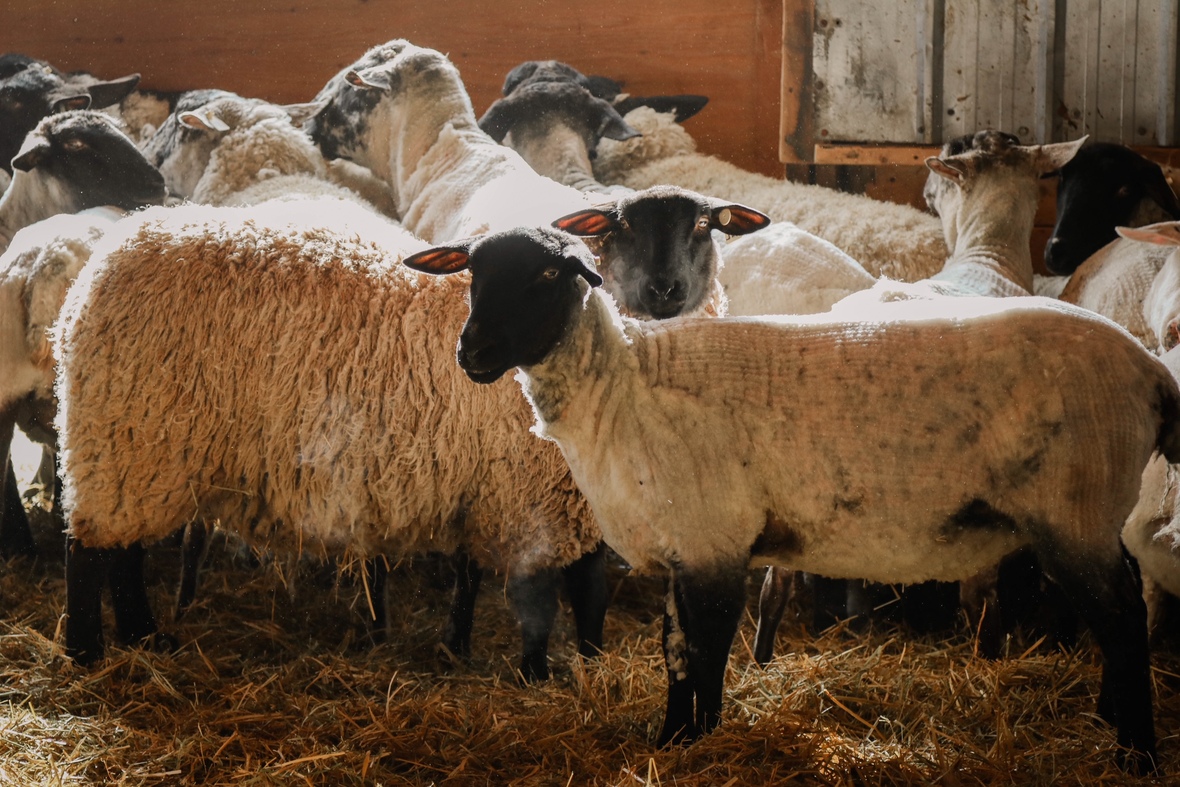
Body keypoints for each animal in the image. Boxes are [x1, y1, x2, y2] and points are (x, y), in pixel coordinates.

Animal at [55, 203, 604, 684]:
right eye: (474, 274)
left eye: (551, 275)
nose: (473, 353)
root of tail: (100, 267)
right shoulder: (533, 499)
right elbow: (556, 596)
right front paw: (540, 675)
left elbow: (555, 586)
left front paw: (584, 663)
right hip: (128, 437)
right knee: (90, 555)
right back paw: (87, 653)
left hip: (139, 455)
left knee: (123, 553)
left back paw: (144, 639)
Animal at [406, 225, 1175, 773]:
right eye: (473, 273)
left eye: (547, 275)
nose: (472, 354)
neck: (622, 389)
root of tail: (1150, 371)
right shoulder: (687, 543)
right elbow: (676, 649)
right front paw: (680, 739)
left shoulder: (714, 537)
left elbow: (703, 650)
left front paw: (695, 743)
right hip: (1089, 516)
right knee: (1119, 608)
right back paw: (1110, 721)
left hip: (1075, 509)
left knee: (1123, 619)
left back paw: (1133, 752)